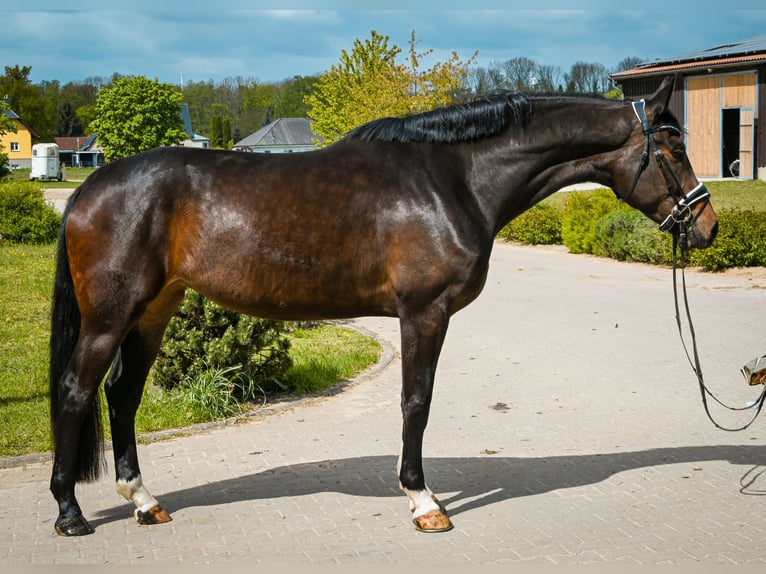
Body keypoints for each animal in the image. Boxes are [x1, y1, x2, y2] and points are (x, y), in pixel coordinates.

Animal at [48, 74, 720, 536]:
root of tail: (88, 188)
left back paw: (144, 501)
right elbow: (416, 402)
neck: (453, 178)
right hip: (112, 316)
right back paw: (70, 512)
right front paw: (424, 502)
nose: (708, 226)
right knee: (79, 392)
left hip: (154, 311)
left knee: (123, 395)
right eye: (673, 148)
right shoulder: (424, 313)